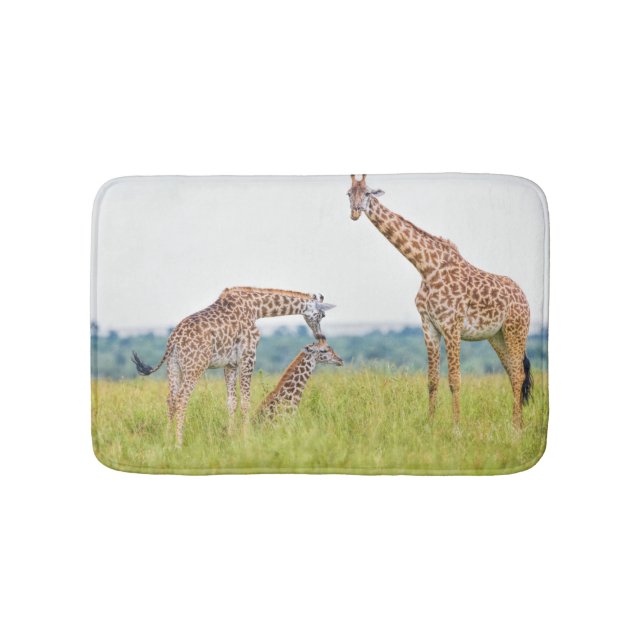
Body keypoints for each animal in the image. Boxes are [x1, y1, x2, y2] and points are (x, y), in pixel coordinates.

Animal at [131, 287, 336, 446]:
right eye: (322, 314)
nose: (320, 336)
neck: (256, 308)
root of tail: (173, 340)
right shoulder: (248, 356)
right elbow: (246, 401)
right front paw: (247, 437)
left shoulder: (229, 363)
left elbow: (231, 401)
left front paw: (231, 437)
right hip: (195, 366)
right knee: (182, 399)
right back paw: (178, 443)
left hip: (173, 366)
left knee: (171, 399)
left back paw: (167, 439)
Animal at [347, 175, 532, 428]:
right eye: (348, 194)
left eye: (367, 193)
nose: (355, 213)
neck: (426, 268)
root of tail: (524, 296)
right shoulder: (429, 326)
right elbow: (432, 380)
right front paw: (430, 424)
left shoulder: (452, 326)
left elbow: (455, 379)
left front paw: (456, 428)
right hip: (497, 336)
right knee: (513, 373)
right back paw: (516, 424)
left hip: (516, 330)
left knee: (519, 374)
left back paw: (517, 428)